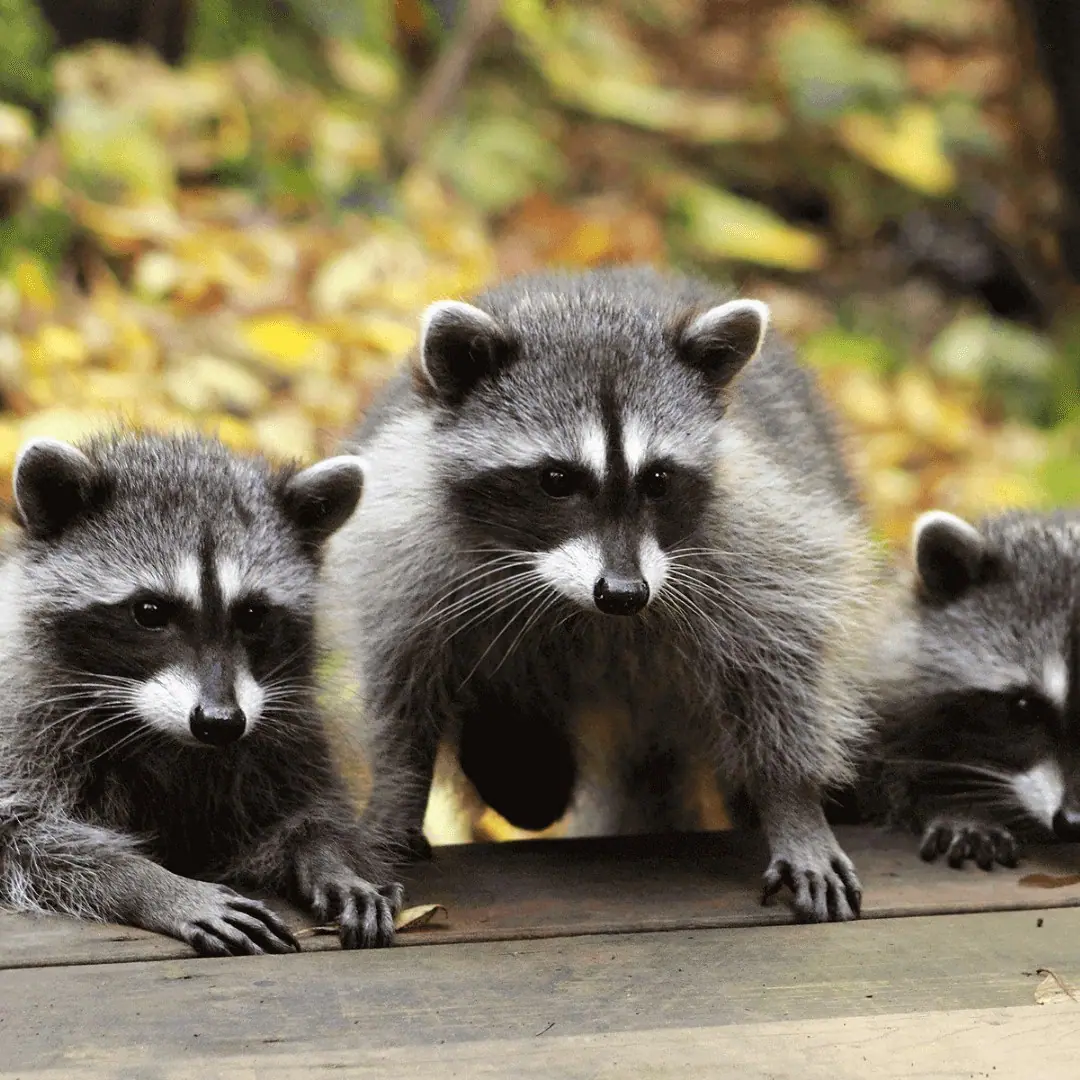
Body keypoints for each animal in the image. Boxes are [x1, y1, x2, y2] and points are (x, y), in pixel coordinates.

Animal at [0, 431, 403, 954]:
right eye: (149, 612)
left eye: (252, 614)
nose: (220, 722)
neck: (163, 735)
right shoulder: (26, 728)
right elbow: (26, 837)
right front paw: (152, 884)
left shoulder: (285, 738)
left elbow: (305, 815)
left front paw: (330, 859)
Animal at [323, 267, 884, 923]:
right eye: (555, 479)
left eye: (658, 479)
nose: (624, 593)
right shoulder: (403, 546)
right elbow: (402, 685)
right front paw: (398, 791)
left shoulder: (758, 541)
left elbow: (781, 665)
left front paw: (793, 802)